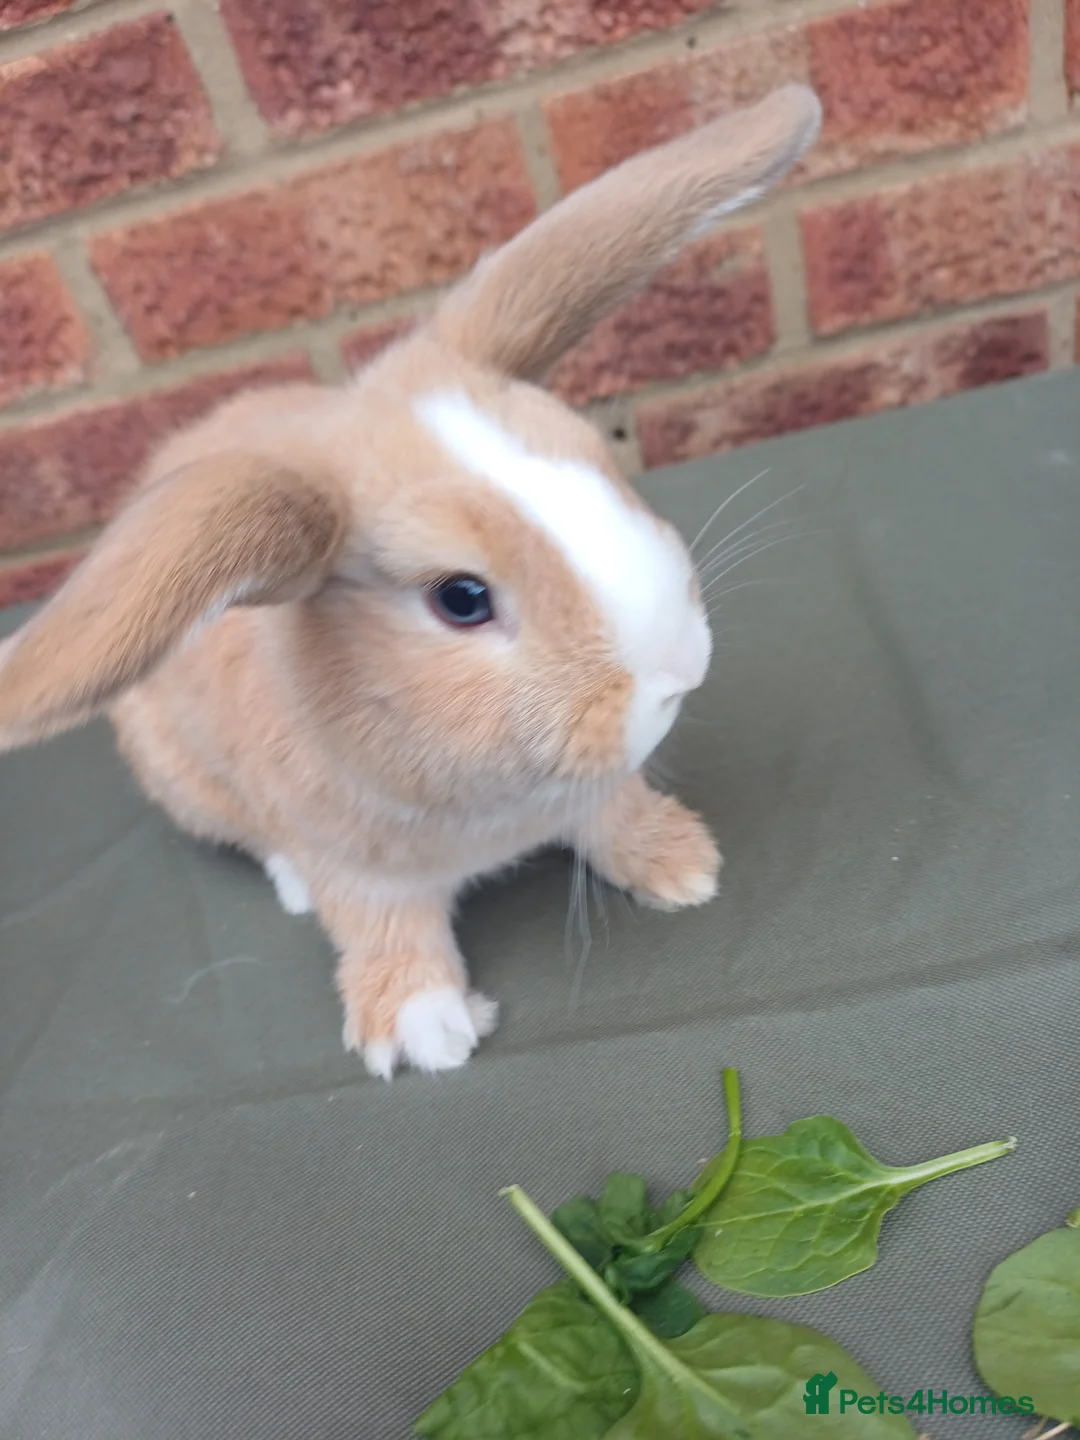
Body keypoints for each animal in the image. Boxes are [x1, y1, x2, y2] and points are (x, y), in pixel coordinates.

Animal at [0, 84, 822, 1078]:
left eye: (601, 462)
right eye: (460, 598)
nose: (680, 669)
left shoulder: (593, 788)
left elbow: (613, 815)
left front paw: (680, 865)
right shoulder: (357, 869)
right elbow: (381, 930)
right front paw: (427, 1031)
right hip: (184, 778)